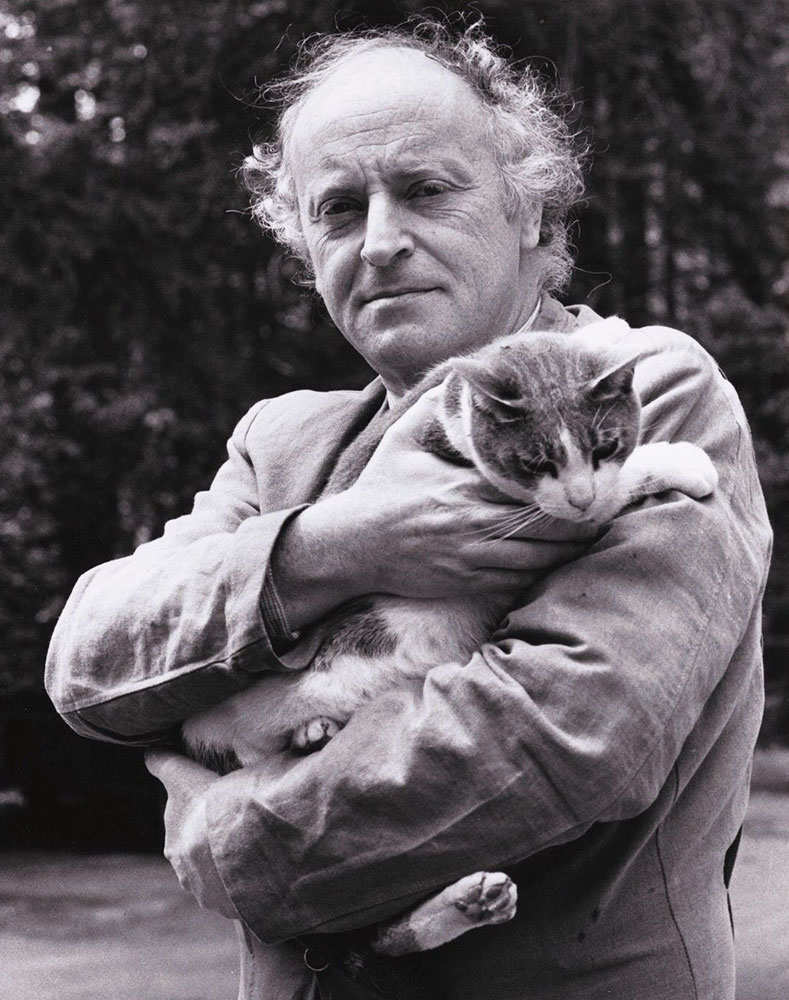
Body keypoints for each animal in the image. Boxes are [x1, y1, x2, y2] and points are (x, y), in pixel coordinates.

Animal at [179, 316, 718, 960]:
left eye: (603, 445)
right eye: (534, 460)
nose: (581, 495)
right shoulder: (521, 519)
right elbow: (607, 496)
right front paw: (685, 460)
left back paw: (467, 897)